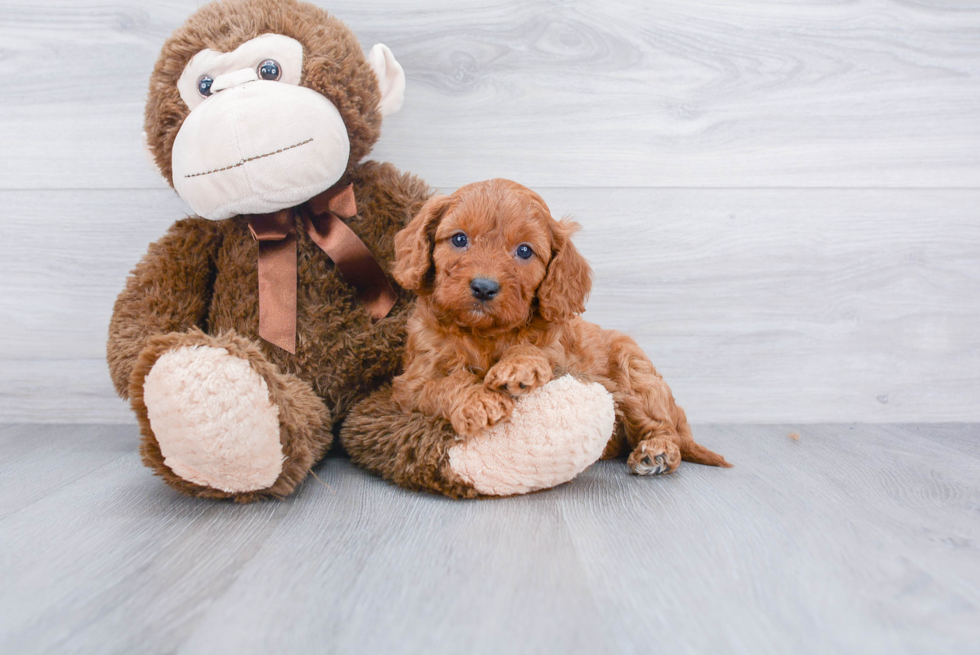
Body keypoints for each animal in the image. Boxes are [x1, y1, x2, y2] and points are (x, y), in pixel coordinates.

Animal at [390, 179, 728, 476]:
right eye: (459, 239)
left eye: (524, 251)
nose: (484, 287)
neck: (484, 332)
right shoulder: (411, 383)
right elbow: (443, 384)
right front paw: (479, 401)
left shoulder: (564, 360)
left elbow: (536, 352)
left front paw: (518, 367)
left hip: (635, 371)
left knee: (664, 427)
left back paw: (657, 452)